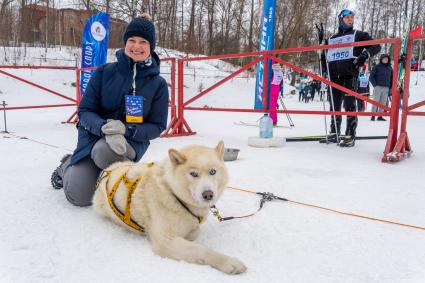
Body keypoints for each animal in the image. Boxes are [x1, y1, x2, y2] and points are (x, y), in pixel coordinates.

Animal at [91, 142, 247, 276]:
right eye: (194, 174)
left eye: (213, 171)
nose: (208, 194)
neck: (175, 195)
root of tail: (108, 170)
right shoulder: (165, 241)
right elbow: (201, 249)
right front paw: (228, 262)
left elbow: (195, 231)